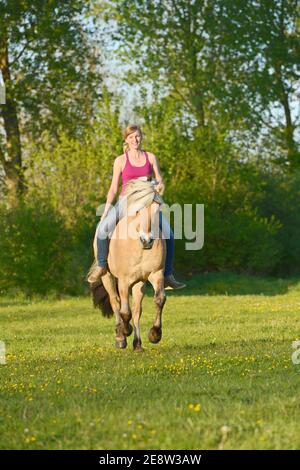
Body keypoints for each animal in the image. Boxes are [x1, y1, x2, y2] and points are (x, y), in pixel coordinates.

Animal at [88, 200, 166, 350]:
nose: (147, 240)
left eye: (157, 211)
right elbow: (124, 312)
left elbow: (159, 299)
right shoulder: (123, 281)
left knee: (136, 309)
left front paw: (155, 334)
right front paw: (125, 330)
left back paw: (137, 344)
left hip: (139, 282)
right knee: (115, 301)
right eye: (138, 211)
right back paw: (121, 337)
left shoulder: (156, 275)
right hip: (107, 277)